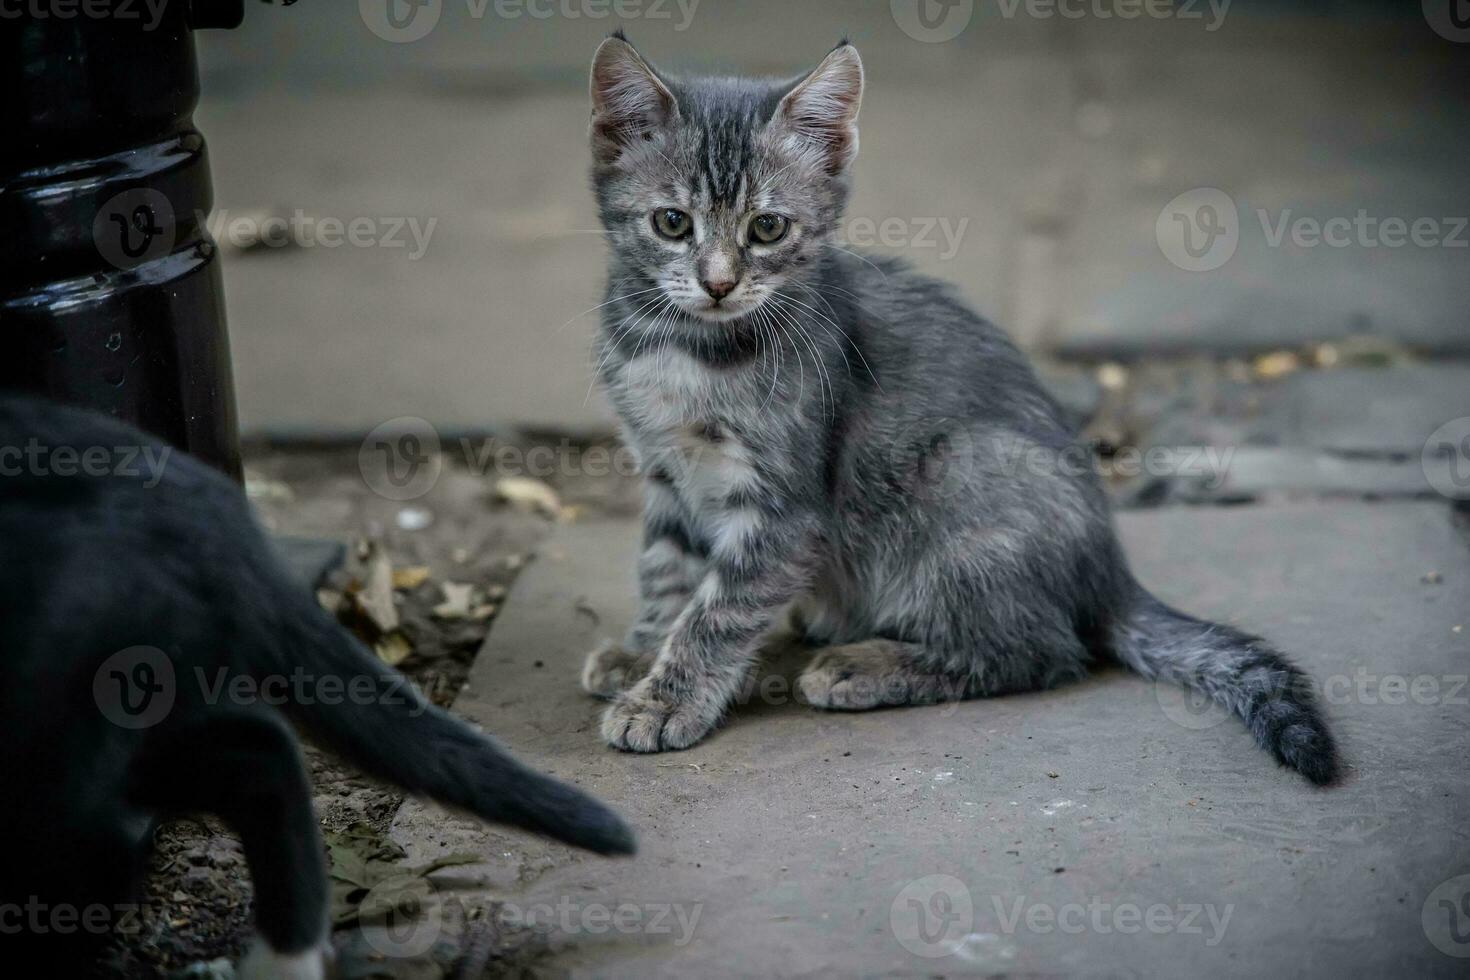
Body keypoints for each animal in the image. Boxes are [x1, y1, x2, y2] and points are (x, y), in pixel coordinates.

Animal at [579, 32, 1340, 787]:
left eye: (767, 228)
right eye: (672, 222)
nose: (718, 283)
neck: (686, 348)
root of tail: (1109, 574)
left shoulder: (784, 506)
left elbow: (721, 609)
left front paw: (667, 698)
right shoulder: (667, 470)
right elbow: (667, 568)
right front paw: (642, 652)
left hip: (962, 474)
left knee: (1043, 650)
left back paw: (867, 664)